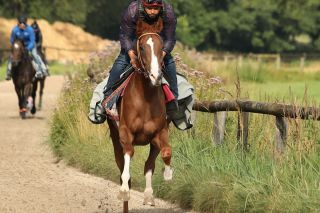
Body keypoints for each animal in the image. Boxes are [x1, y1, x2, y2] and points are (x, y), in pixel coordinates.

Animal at [106, 17, 172, 209]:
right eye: (142, 47)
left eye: (160, 46)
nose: (156, 76)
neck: (146, 99)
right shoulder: (125, 133)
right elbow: (128, 155)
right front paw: (124, 190)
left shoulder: (159, 133)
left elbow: (165, 153)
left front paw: (167, 175)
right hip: (114, 135)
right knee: (121, 163)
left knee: (149, 163)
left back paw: (148, 194)